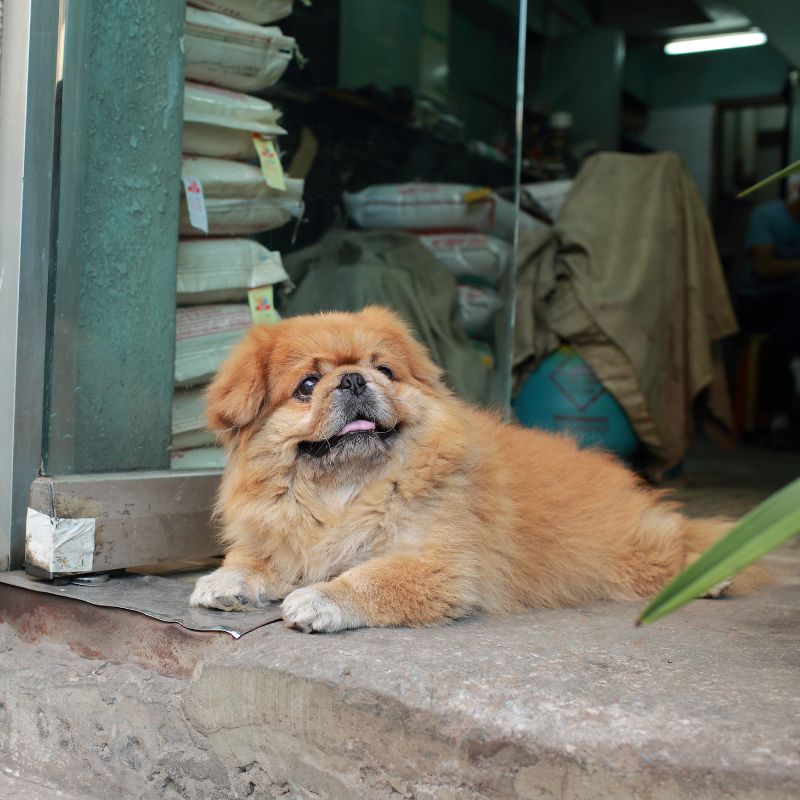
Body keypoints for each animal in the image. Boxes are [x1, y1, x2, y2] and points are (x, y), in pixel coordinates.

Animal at [192, 306, 756, 632]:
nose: (353, 379)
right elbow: (251, 561)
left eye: (384, 370)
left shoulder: (438, 564)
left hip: (629, 552)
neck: (344, 494)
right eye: (308, 385)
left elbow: (369, 578)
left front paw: (320, 599)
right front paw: (222, 583)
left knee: (680, 541)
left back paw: (711, 576)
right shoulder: (286, 541)